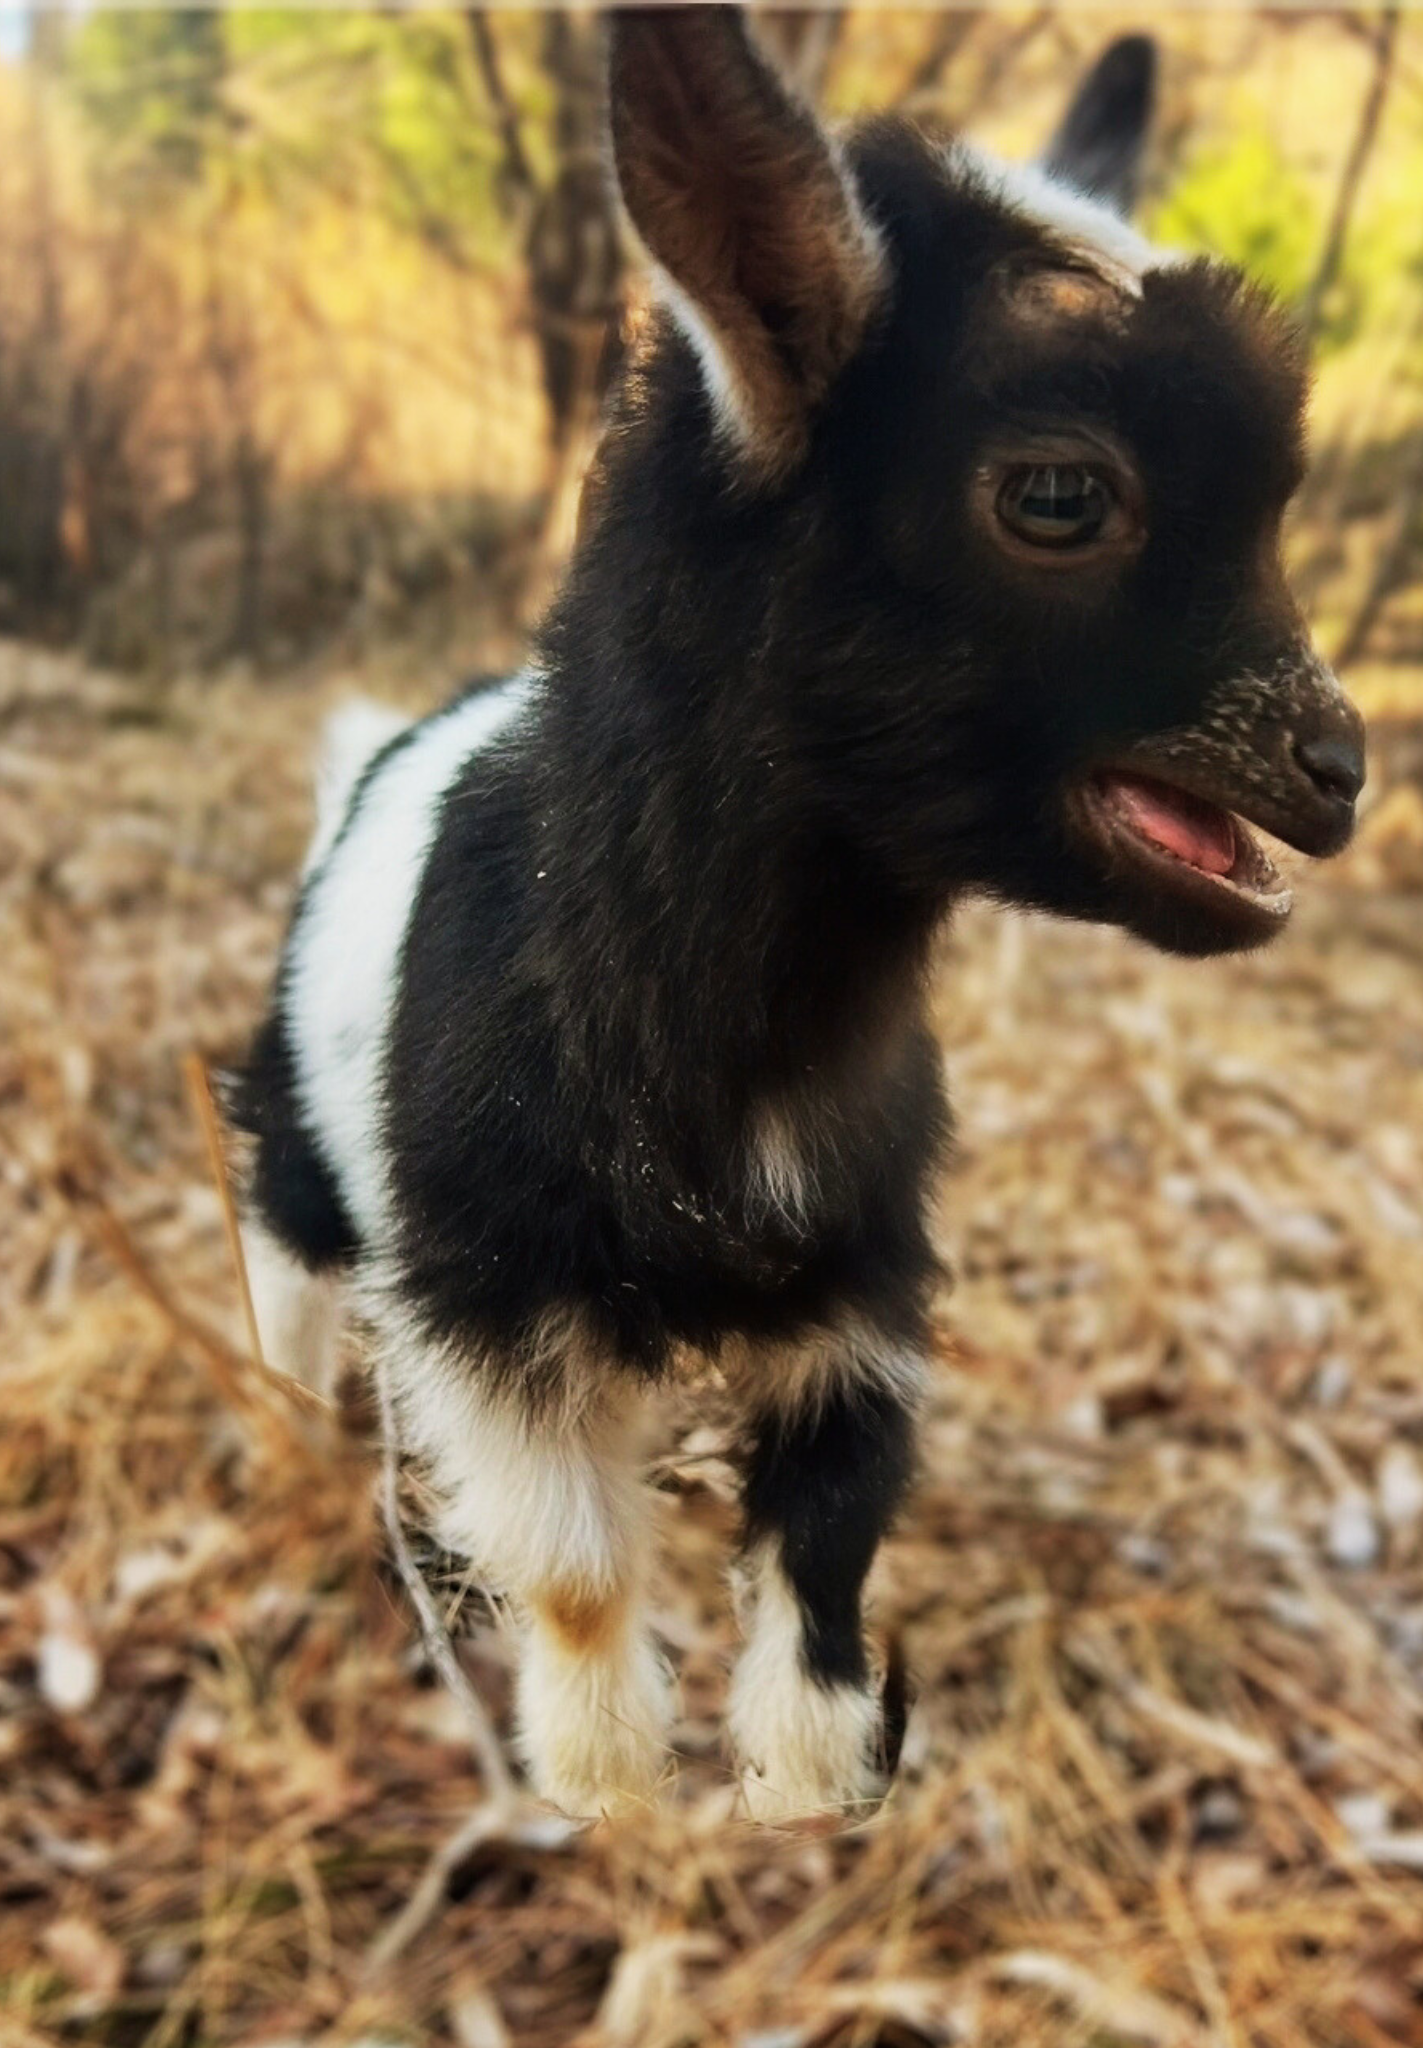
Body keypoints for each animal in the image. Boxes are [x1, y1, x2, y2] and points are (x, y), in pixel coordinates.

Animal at [232, 10, 1365, 1819]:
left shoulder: (859, 1290)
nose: (1338, 771)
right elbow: (575, 1566)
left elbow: (828, 1545)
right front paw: (605, 1792)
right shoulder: (485, 1301)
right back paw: (289, 1428)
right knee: (284, 1263)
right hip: (297, 1130)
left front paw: (804, 1786)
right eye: (1057, 494)